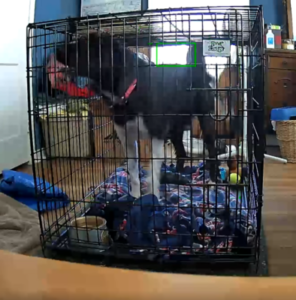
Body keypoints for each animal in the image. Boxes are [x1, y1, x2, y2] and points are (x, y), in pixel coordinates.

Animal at [56, 34, 240, 198]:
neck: (130, 88)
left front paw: (153, 198)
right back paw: (178, 179)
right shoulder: (127, 139)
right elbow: (133, 170)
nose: (56, 48)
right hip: (175, 130)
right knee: (181, 153)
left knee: (211, 152)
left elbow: (152, 172)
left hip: (206, 121)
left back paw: (212, 180)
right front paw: (136, 196)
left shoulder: (156, 138)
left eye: (84, 44)